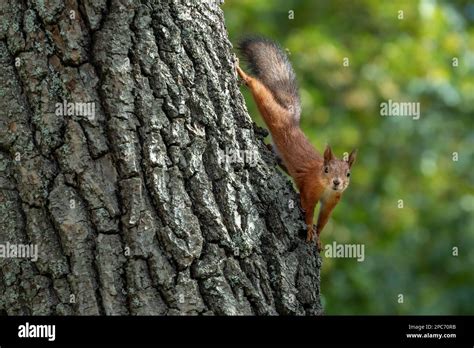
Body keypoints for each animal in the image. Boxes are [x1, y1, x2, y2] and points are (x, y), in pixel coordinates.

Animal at [237, 37, 356, 250]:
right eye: (326, 169)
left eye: (348, 173)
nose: (337, 182)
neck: (325, 187)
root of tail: (291, 118)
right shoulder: (310, 189)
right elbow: (308, 210)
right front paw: (309, 230)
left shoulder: (332, 201)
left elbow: (323, 220)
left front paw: (319, 237)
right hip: (274, 115)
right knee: (260, 91)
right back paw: (242, 74)